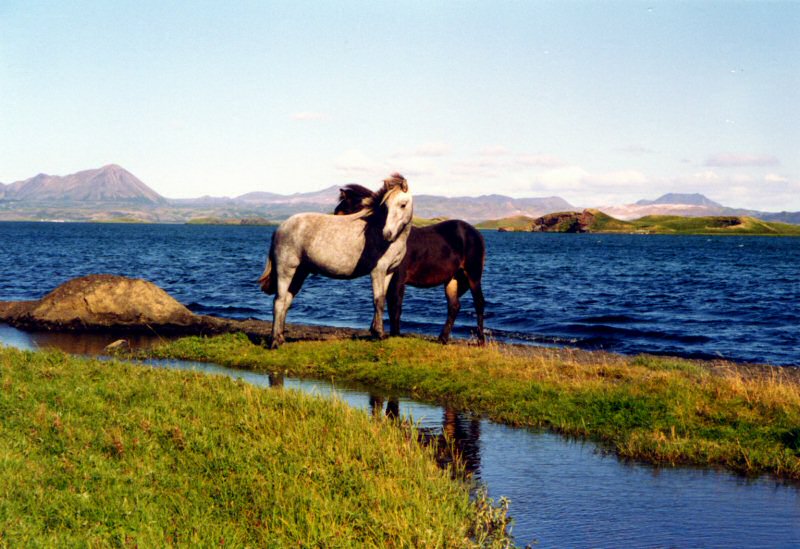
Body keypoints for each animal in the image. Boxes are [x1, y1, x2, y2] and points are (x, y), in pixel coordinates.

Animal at [260, 173, 416, 348]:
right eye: (386, 207)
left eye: (403, 205)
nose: (387, 233)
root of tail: (280, 228)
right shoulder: (378, 271)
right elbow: (378, 300)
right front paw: (379, 334)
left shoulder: (389, 272)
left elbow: (381, 298)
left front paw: (375, 331)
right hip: (286, 270)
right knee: (279, 302)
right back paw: (274, 341)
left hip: (299, 273)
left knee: (286, 301)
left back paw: (281, 338)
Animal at [334, 184, 484, 342]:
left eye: (342, 212)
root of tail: (475, 232)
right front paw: (376, 330)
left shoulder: (398, 279)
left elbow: (395, 305)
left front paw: (394, 334)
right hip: (453, 279)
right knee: (454, 306)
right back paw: (442, 338)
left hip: (473, 275)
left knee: (479, 303)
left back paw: (481, 340)